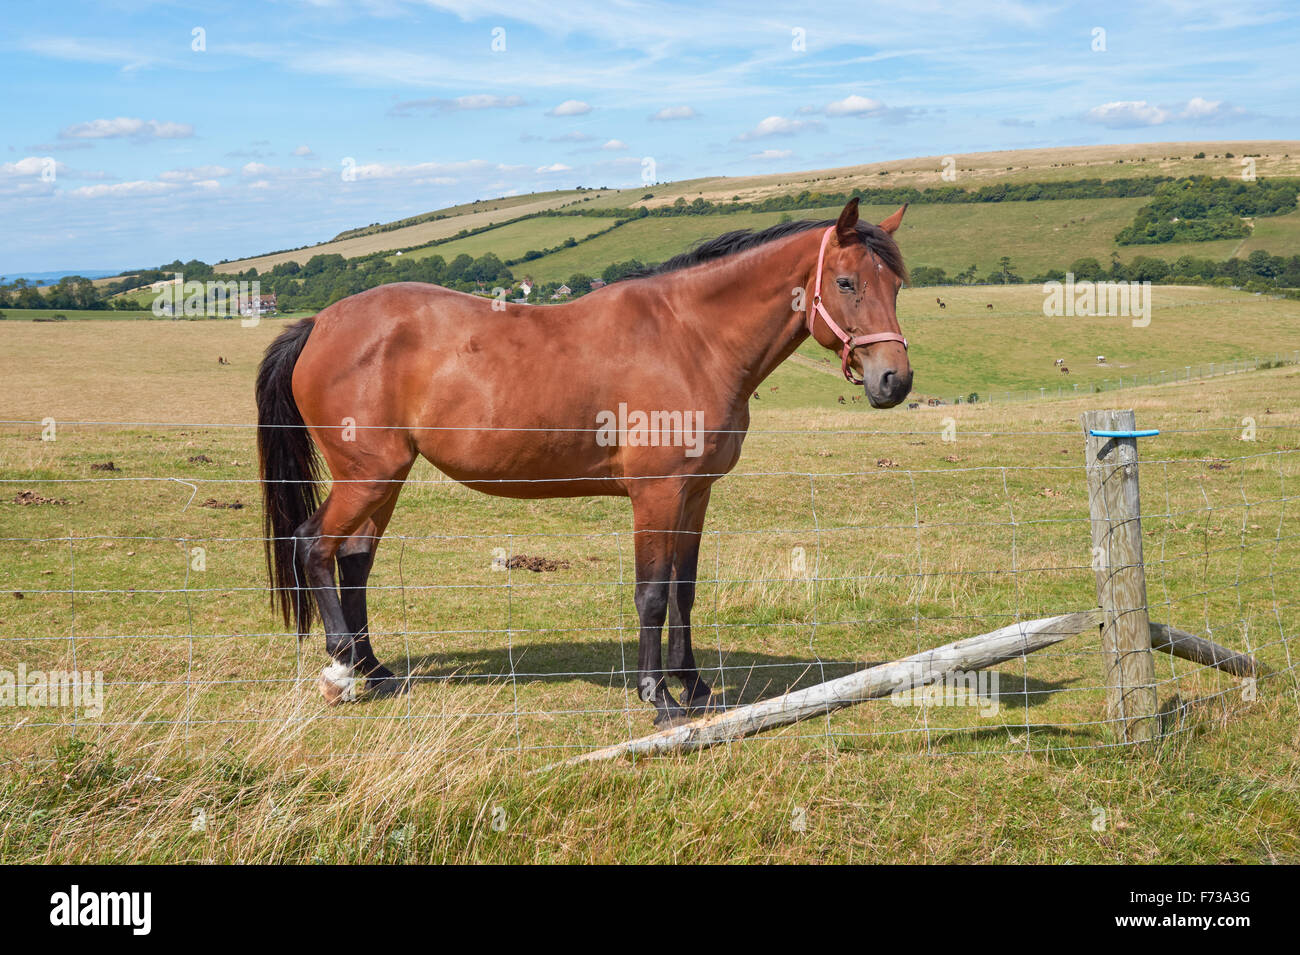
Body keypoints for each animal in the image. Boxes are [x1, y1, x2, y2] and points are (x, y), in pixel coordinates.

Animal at [255, 198, 913, 726]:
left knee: (355, 560)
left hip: (384, 479)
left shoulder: (695, 494)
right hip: (368, 476)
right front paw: (658, 697)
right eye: (847, 282)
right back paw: (341, 668)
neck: (690, 341)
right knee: (313, 545)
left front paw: (696, 687)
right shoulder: (656, 494)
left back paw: (374, 668)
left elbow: (684, 590)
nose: (894, 381)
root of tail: (321, 323)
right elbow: (653, 594)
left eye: (897, 285)